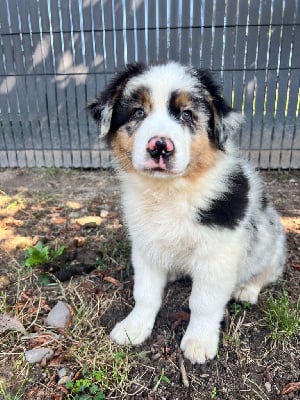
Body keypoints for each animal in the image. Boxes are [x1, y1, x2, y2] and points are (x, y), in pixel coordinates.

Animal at [87, 61, 286, 364]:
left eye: (186, 114)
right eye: (138, 112)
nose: (160, 146)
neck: (170, 192)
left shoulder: (217, 255)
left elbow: (204, 302)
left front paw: (199, 342)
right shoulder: (145, 245)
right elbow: (145, 293)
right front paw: (134, 327)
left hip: (271, 241)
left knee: (267, 271)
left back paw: (247, 290)